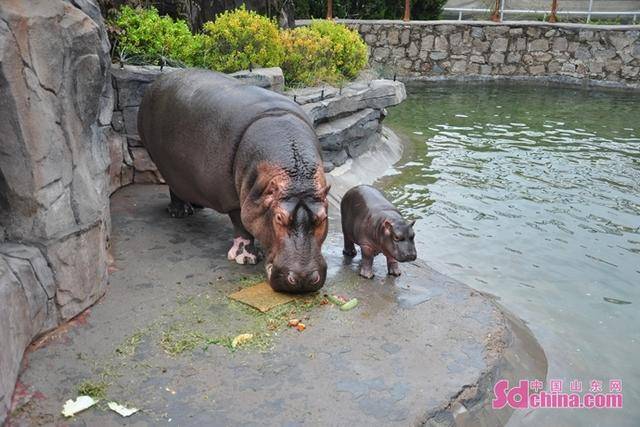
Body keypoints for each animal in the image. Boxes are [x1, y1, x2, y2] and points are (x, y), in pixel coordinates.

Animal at [139, 69, 330, 294]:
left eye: (323, 217)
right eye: (279, 218)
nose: (303, 279)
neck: (296, 178)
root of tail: (158, 81)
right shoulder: (235, 200)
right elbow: (241, 225)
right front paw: (246, 259)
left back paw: (196, 206)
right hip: (164, 163)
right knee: (174, 187)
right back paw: (180, 212)